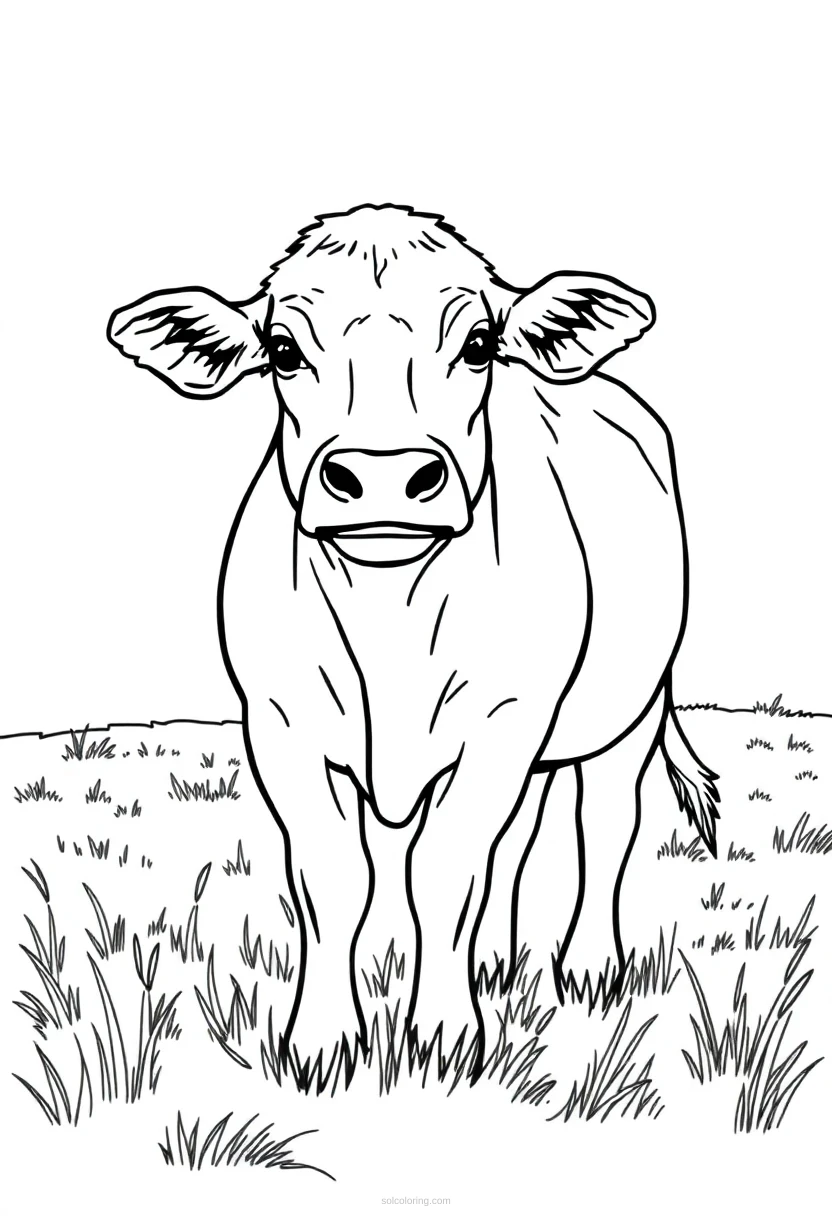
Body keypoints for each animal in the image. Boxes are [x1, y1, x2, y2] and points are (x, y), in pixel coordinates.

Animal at [108, 203, 719, 1090]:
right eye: (283, 351)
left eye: (478, 344)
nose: (384, 477)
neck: (388, 617)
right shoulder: (282, 729)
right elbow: (335, 878)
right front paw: (321, 1043)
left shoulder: (500, 724)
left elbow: (445, 870)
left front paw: (444, 1037)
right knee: (519, 840)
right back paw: (497, 963)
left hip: (629, 706)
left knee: (604, 822)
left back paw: (589, 969)